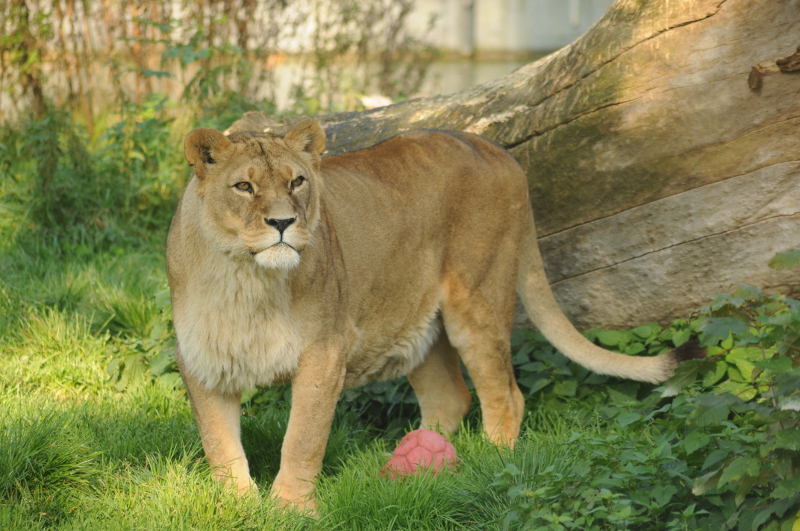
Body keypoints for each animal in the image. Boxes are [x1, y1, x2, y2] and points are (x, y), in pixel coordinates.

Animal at [166, 119, 701, 511]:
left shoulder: (325, 352)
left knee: (506, 395)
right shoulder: (202, 359)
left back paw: (491, 464)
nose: (283, 222)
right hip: (416, 323)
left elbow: (302, 437)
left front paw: (291, 508)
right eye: (243, 186)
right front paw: (237, 504)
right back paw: (422, 465)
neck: (246, 278)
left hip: (477, 301)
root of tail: (496, 149)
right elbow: (219, 444)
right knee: (450, 397)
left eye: (297, 181)